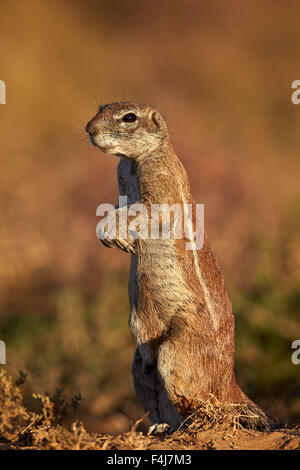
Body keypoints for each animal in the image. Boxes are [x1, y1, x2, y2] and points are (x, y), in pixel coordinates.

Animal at [85, 103, 276, 434]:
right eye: (100, 108)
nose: (89, 129)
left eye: (129, 117)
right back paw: (161, 427)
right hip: (139, 366)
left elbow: (144, 210)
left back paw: (194, 425)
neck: (134, 162)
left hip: (176, 354)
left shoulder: (160, 181)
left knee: (200, 405)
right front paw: (119, 239)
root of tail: (230, 384)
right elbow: (121, 207)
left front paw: (109, 231)